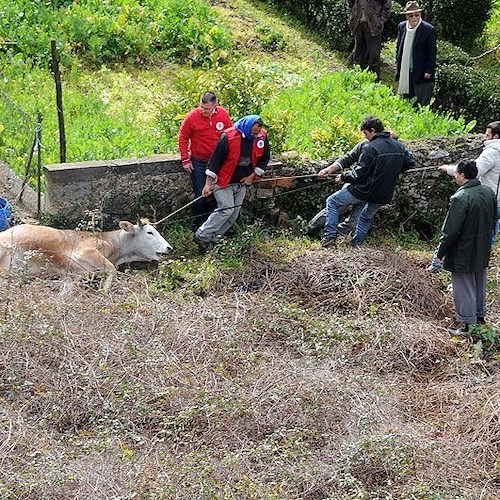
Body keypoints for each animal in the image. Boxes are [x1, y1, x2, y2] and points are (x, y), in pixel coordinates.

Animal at [0, 220, 172, 288]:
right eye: (149, 232)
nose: (169, 248)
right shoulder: (84, 251)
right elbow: (111, 269)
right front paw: (105, 289)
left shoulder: (73, 275)